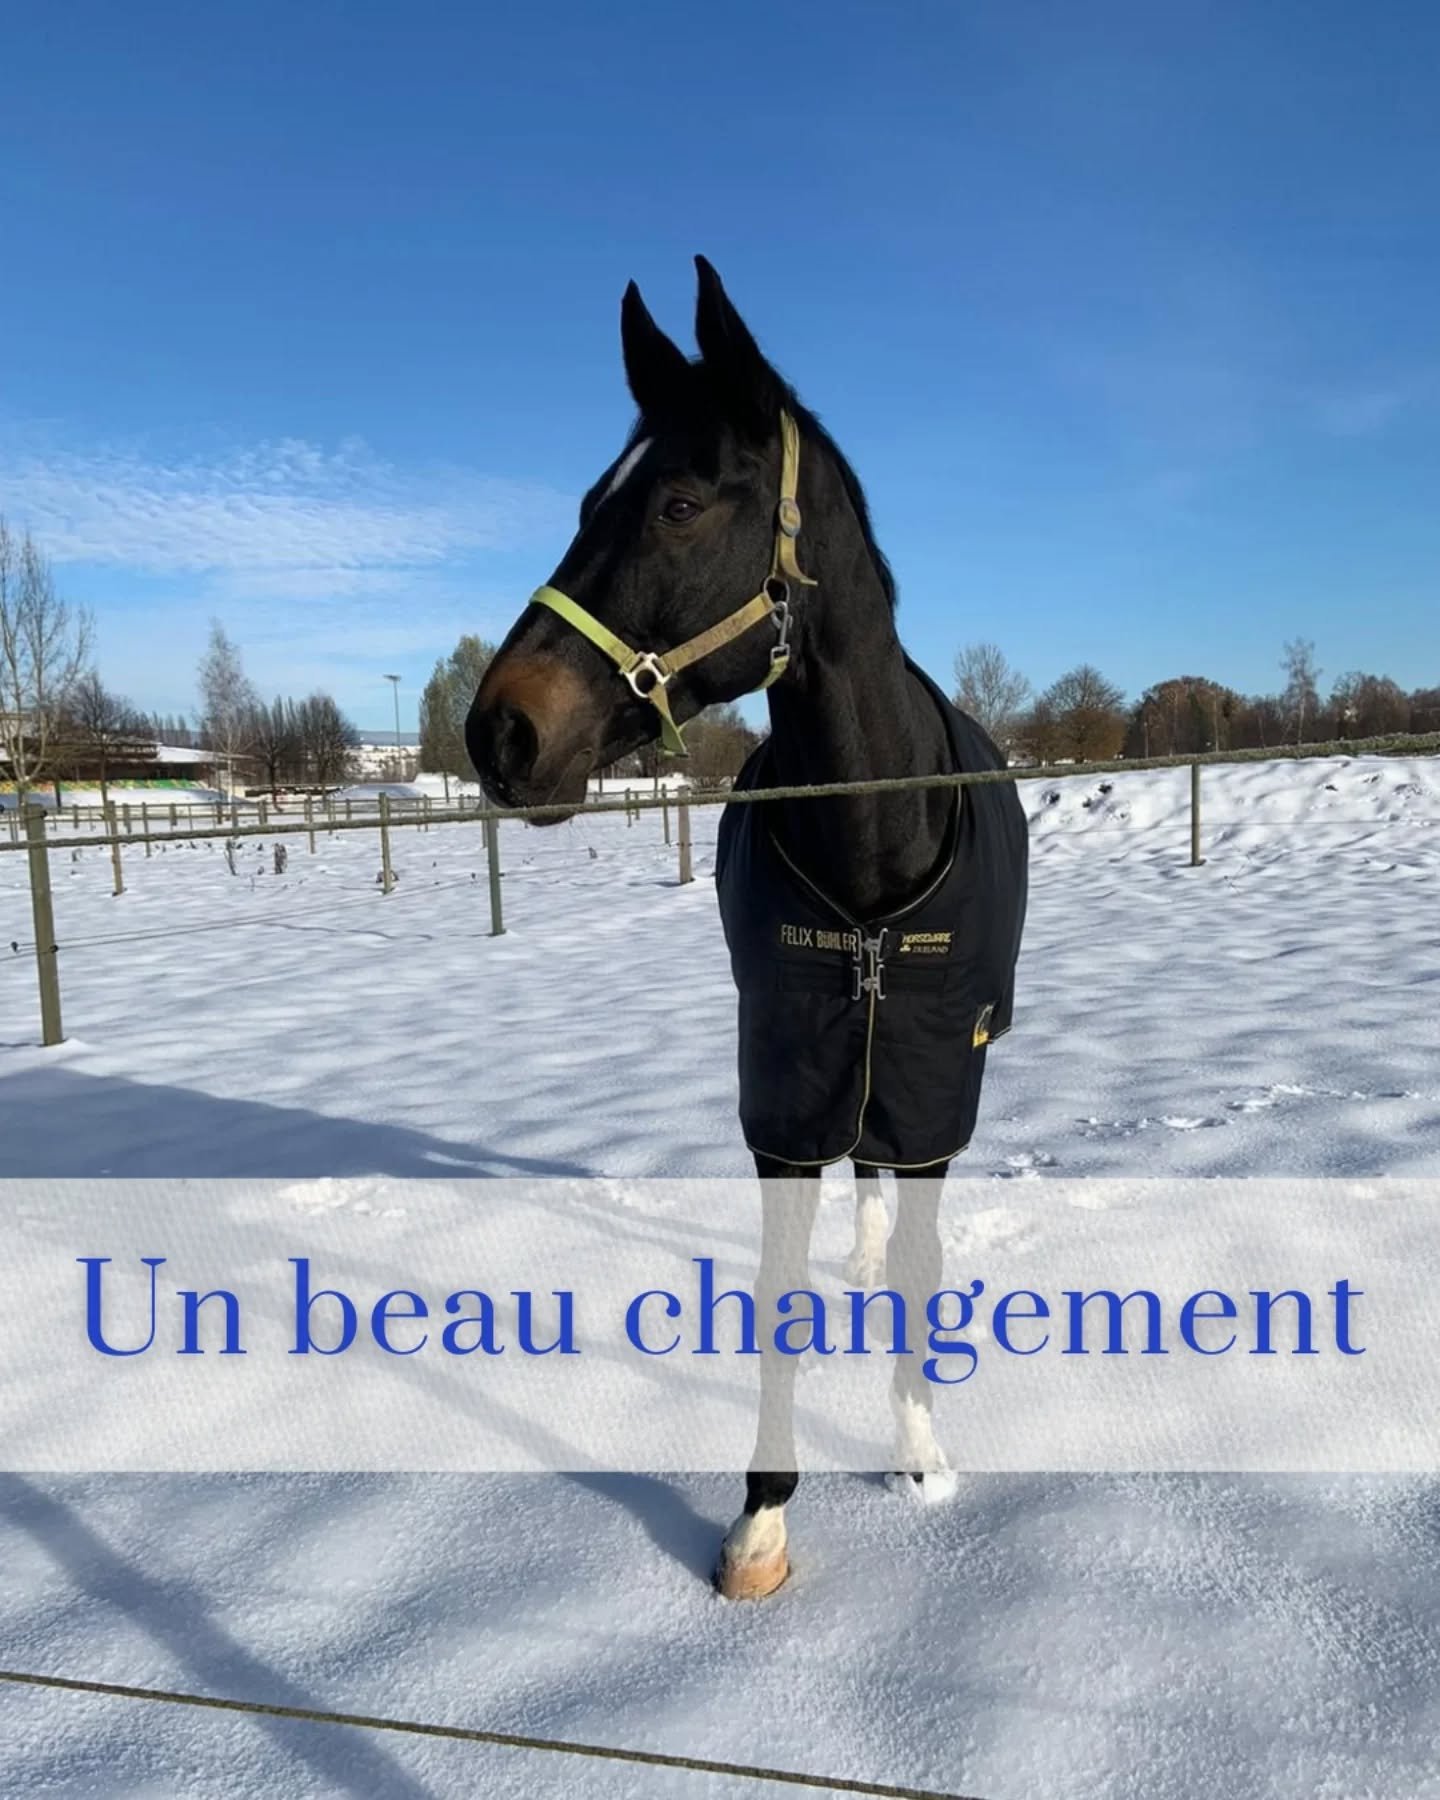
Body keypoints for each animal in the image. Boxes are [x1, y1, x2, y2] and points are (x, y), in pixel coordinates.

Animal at [467, 257, 1028, 1600]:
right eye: (588, 498)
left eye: (676, 503)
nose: (498, 731)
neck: (871, 839)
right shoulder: (785, 1091)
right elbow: (776, 1292)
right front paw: (763, 1519)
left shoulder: (932, 1085)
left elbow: (925, 1267)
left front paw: (920, 1461)